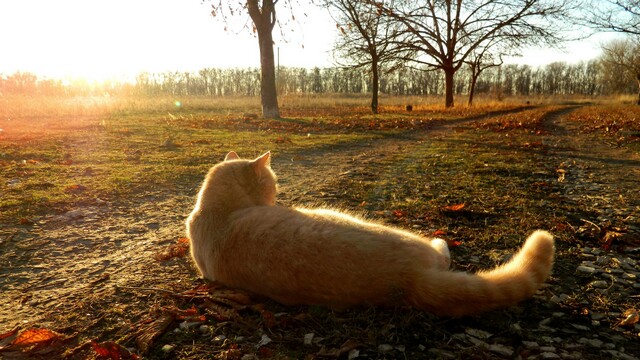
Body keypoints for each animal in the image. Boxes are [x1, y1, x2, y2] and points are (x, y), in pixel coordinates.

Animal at [186, 150, 556, 316]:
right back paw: (441, 242)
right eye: (273, 183)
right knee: (443, 254)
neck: (216, 210)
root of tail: (411, 279)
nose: (277, 196)